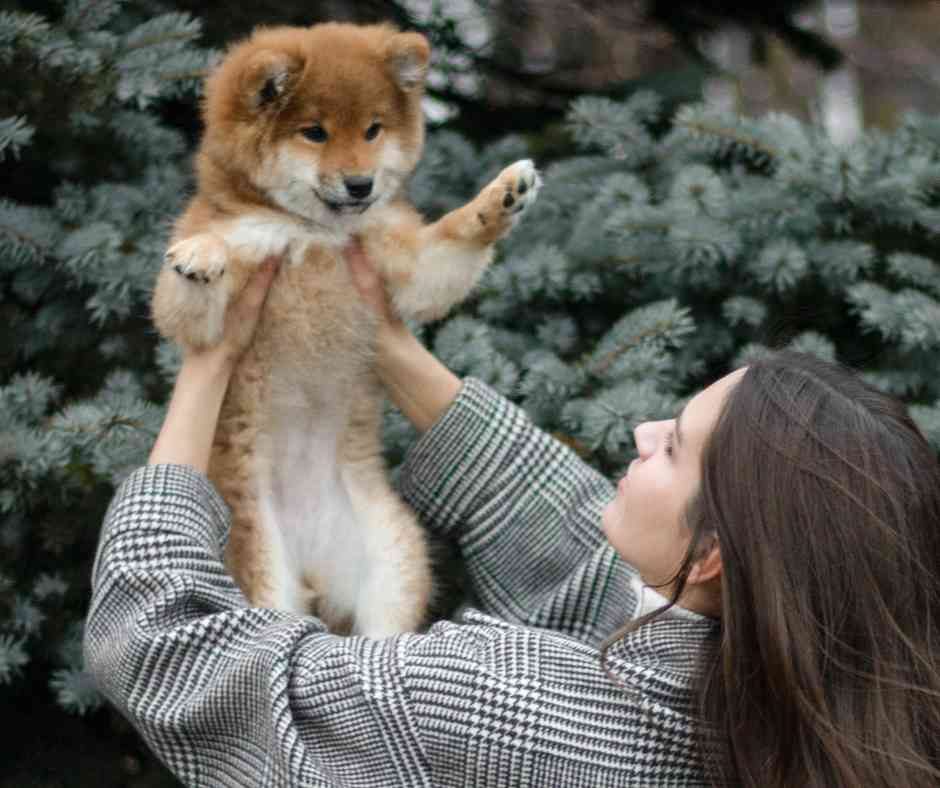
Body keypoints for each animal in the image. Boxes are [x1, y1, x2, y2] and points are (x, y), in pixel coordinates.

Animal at [151, 23, 540, 640]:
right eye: (314, 132)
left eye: (372, 129)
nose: (361, 184)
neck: (312, 233)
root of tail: (314, 571)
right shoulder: (204, 314)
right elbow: (199, 276)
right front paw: (200, 254)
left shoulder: (406, 266)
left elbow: (452, 235)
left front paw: (501, 198)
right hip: (263, 570)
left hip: (394, 562)